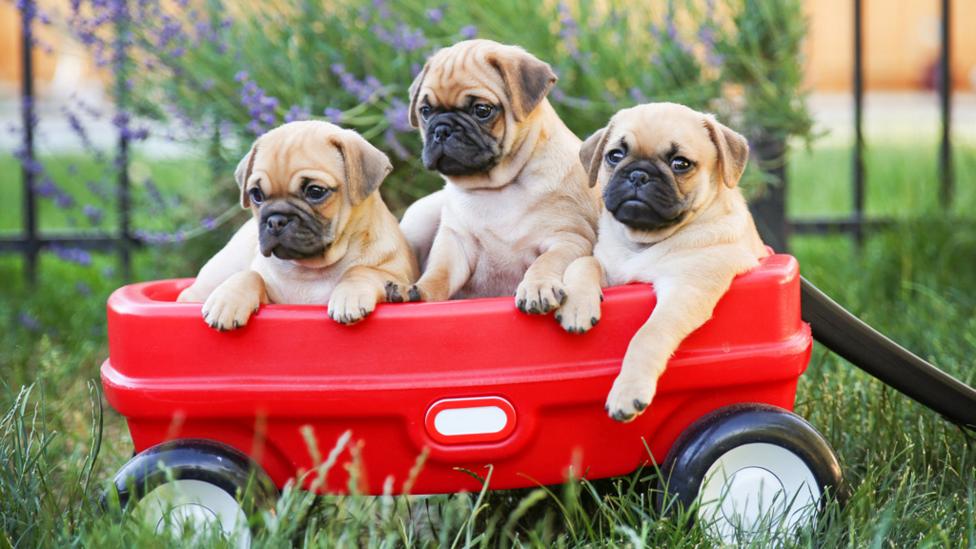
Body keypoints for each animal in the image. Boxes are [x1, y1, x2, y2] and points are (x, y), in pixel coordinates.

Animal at [177, 122, 418, 328]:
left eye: (315, 191)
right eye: (256, 195)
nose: (275, 220)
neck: (311, 269)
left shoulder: (396, 275)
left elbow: (361, 270)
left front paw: (350, 294)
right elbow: (251, 275)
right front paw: (228, 300)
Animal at [386, 39, 600, 312]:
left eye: (482, 110)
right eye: (425, 111)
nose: (442, 129)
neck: (496, 187)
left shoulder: (569, 239)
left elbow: (546, 261)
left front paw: (537, 286)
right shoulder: (455, 244)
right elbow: (438, 274)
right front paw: (417, 289)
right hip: (420, 216)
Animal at [556, 101, 772, 420]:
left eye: (680, 163)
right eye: (615, 155)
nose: (638, 174)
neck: (642, 242)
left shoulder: (685, 291)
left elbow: (648, 334)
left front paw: (629, 390)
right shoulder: (609, 269)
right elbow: (582, 263)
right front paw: (577, 306)